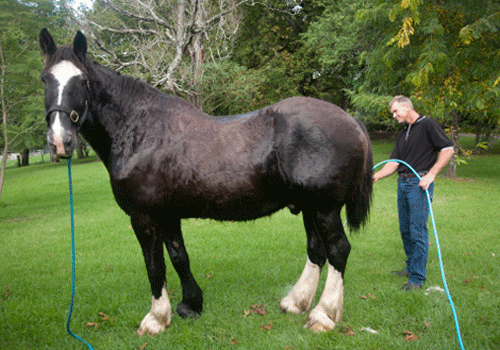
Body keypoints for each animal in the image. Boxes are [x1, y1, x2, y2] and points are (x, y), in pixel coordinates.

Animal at [41, 28, 374, 334]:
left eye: (83, 81)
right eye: (45, 79)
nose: (60, 141)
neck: (138, 130)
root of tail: (351, 119)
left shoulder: (143, 217)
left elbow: (154, 265)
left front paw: (155, 319)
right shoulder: (167, 214)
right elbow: (179, 257)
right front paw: (190, 305)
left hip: (324, 208)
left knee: (338, 250)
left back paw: (323, 315)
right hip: (308, 207)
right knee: (317, 251)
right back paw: (296, 302)